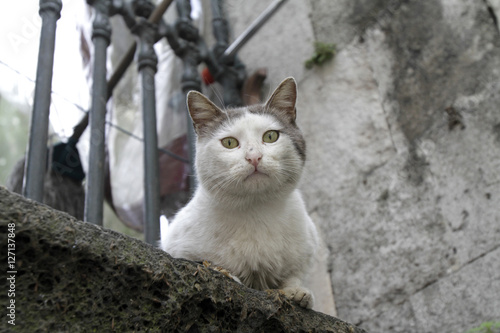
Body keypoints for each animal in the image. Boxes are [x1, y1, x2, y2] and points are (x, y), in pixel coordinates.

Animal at [161, 76, 320, 308]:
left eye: (270, 136)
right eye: (229, 142)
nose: (254, 157)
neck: (255, 210)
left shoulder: (306, 250)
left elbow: (293, 275)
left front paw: (296, 292)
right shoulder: (176, 248)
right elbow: (204, 262)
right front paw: (226, 274)